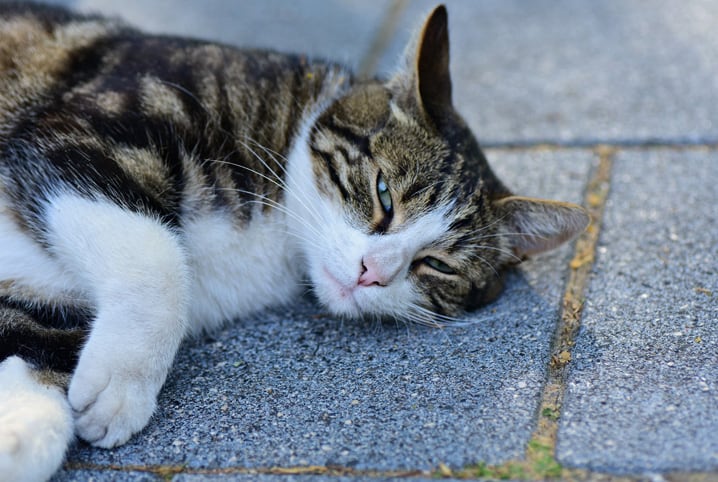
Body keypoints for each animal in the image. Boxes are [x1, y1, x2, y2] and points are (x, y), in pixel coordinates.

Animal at [0, 1, 592, 480]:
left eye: (439, 266)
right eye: (383, 193)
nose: (372, 272)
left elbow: (37, 340)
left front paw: (22, 431)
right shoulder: (90, 126)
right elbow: (158, 260)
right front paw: (123, 384)